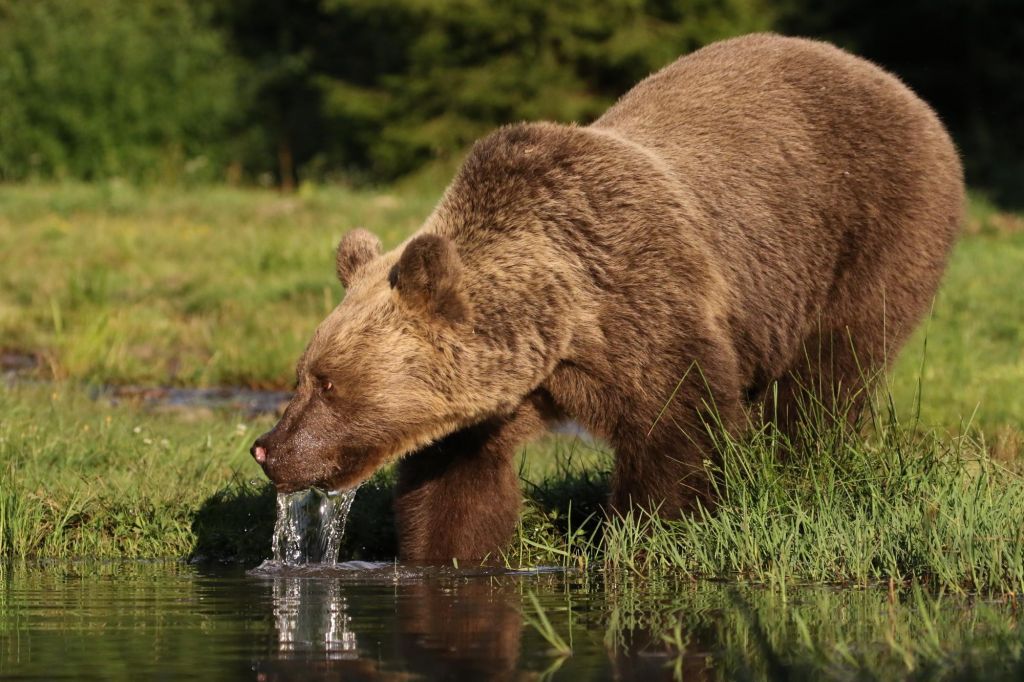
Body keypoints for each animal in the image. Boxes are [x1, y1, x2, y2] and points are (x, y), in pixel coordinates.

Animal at [251, 33, 962, 557]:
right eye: (303, 373)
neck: (559, 326)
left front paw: (649, 532)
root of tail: (893, 82)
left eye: (329, 382)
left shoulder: (648, 303)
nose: (267, 448)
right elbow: (458, 491)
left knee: (827, 375)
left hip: (869, 228)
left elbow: (680, 434)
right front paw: (447, 552)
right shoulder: (487, 402)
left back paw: (795, 462)